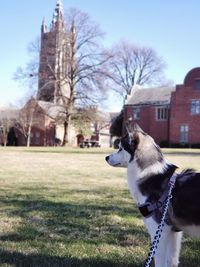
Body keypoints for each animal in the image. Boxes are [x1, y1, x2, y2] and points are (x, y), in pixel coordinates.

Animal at [105, 124, 200, 267]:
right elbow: (172, 261)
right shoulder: (173, 232)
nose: (106, 157)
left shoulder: (159, 230)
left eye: (120, 148)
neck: (148, 173)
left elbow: (160, 262)